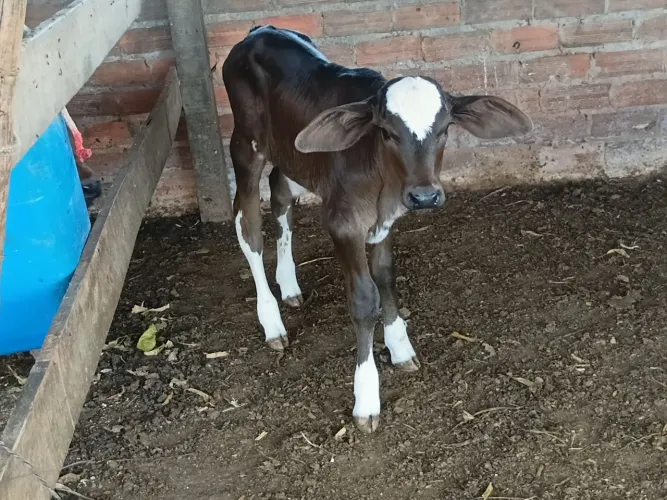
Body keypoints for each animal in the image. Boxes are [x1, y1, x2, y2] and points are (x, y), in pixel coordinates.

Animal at [222, 25, 532, 433]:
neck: (383, 182)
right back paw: (271, 320)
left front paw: (400, 345)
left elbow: (386, 275)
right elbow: (365, 299)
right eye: (386, 132)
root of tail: (260, 30)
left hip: (291, 154)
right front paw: (367, 397)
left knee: (280, 193)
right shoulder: (343, 223)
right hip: (245, 145)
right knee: (248, 225)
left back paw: (288, 284)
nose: (424, 196)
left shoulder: (387, 219)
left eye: (445, 129)